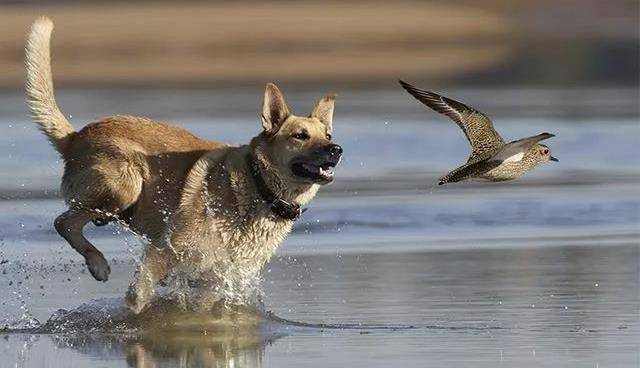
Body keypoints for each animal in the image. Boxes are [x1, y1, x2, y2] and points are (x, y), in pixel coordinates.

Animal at [24, 17, 342, 314]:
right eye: (301, 136)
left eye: (327, 135)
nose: (336, 150)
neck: (258, 185)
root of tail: (76, 136)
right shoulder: (166, 250)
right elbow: (138, 298)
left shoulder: (221, 276)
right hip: (126, 186)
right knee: (63, 221)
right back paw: (98, 263)